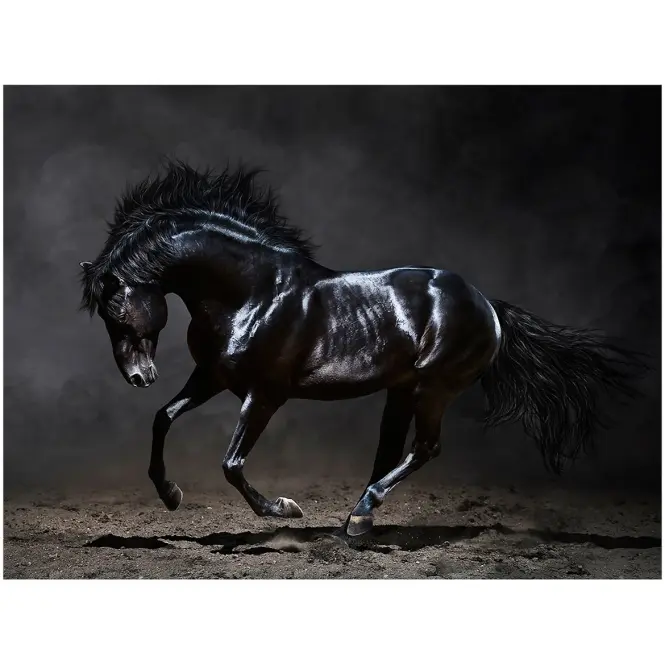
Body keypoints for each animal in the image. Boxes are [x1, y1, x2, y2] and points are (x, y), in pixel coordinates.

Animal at [79, 161, 643, 536]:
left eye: (117, 309)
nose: (138, 376)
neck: (252, 293)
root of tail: (488, 305)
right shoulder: (213, 378)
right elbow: (163, 418)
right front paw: (170, 495)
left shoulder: (264, 394)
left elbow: (231, 463)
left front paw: (284, 509)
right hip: (403, 389)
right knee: (392, 450)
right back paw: (357, 518)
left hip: (435, 388)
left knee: (424, 448)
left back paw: (360, 515)